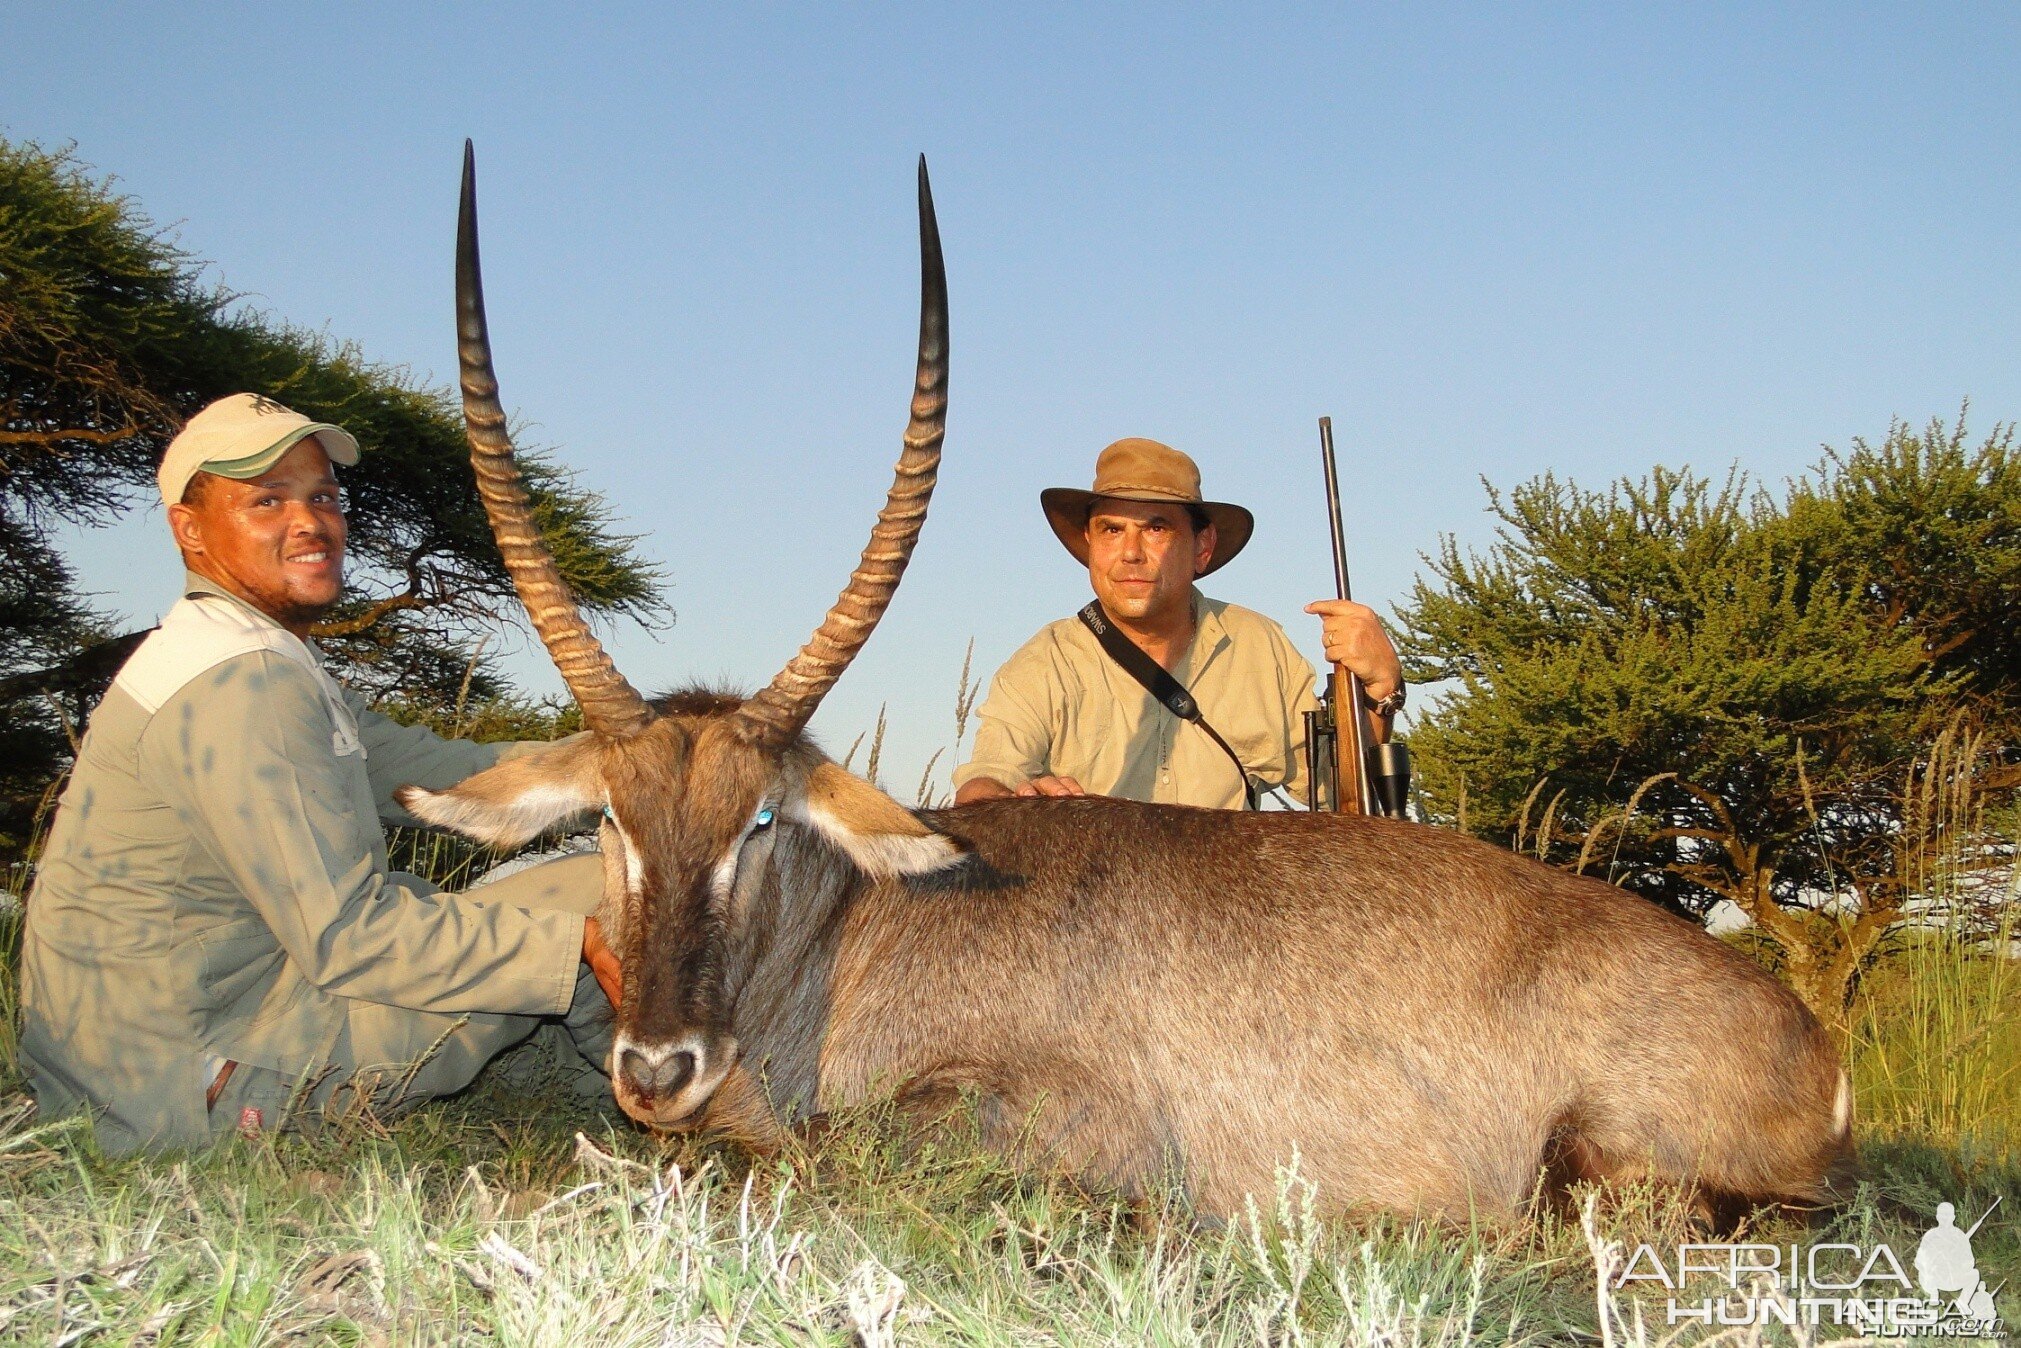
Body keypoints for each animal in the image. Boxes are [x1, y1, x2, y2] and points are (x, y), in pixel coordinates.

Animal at [402, 147, 1851, 1220]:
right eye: (609, 820)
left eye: (760, 820)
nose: (657, 1067)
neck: (855, 925)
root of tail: (1813, 1038)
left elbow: (825, 1155)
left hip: (1606, 1165)